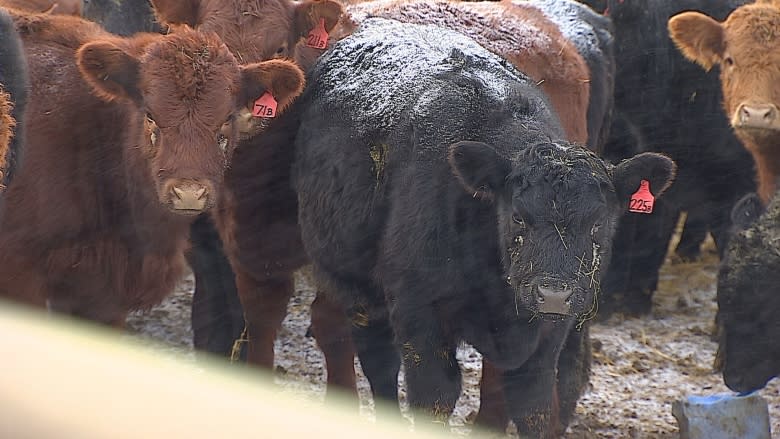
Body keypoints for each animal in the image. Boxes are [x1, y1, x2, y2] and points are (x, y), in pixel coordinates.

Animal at [292, 17, 676, 436]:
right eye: (518, 216)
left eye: (598, 224)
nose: (552, 294)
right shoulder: (419, 316)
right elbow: (434, 395)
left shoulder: (550, 335)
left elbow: (533, 404)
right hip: (355, 284)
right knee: (377, 360)